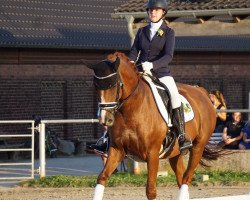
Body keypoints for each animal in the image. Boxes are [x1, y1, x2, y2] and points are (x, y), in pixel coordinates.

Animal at [86, 52, 221, 200]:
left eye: (114, 85)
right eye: (96, 87)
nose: (106, 120)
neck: (131, 109)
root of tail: (202, 92)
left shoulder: (152, 153)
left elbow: (151, 190)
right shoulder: (117, 149)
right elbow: (102, 178)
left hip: (198, 147)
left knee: (187, 178)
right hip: (175, 152)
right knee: (181, 178)